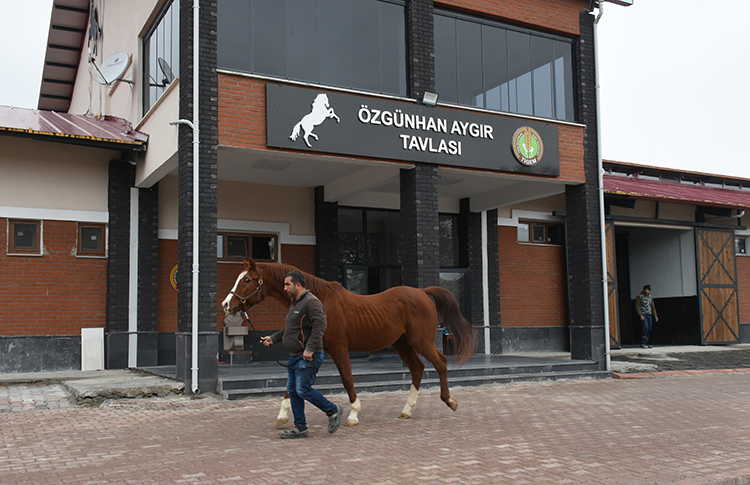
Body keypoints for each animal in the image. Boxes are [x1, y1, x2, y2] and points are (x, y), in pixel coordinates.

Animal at [222, 260, 476, 426]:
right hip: (401, 343)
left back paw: (449, 401)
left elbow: (346, 378)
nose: (226, 305)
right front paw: (283, 414)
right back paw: (406, 411)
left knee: (440, 362)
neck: (321, 301)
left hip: (421, 341)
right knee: (418, 368)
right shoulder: (311, 350)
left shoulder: (338, 349)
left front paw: (353, 414)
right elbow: (292, 383)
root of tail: (423, 292)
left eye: (247, 279)